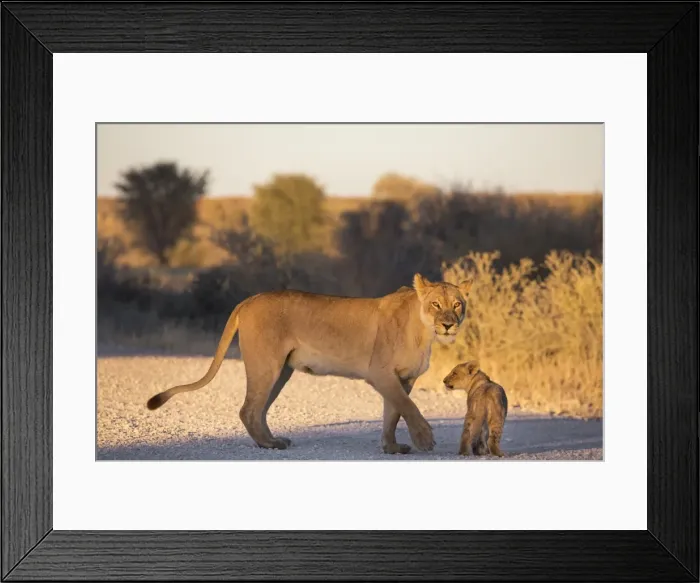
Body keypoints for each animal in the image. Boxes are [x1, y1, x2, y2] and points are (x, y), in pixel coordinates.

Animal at [146, 273, 474, 454]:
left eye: (457, 304)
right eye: (435, 304)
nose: (448, 324)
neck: (424, 332)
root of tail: (249, 299)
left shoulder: (403, 379)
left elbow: (393, 413)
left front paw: (391, 447)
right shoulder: (380, 374)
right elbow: (409, 408)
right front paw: (424, 440)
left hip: (282, 371)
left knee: (259, 409)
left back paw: (272, 439)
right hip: (266, 364)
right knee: (248, 408)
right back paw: (269, 445)